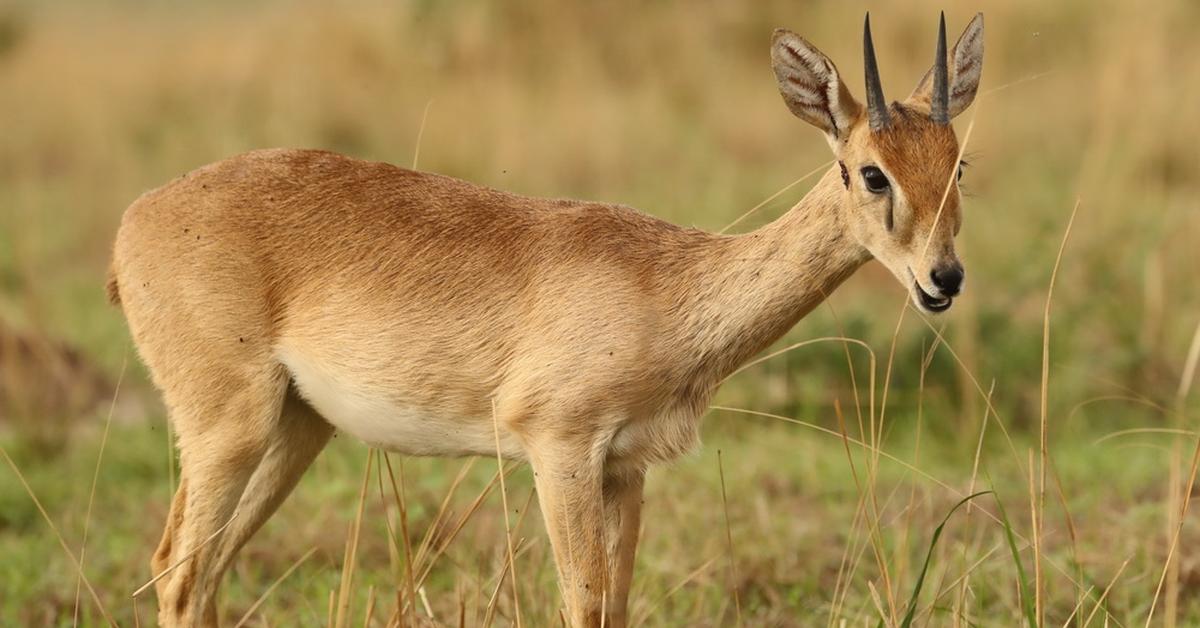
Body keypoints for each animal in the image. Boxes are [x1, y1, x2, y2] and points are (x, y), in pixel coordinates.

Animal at [105, 12, 984, 624]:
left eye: (959, 162)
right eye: (870, 172)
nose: (942, 279)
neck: (668, 285)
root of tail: (136, 219)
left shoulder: (626, 467)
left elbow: (615, 605)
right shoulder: (559, 449)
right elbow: (582, 602)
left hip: (296, 429)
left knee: (201, 572)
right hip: (229, 426)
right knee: (178, 571)